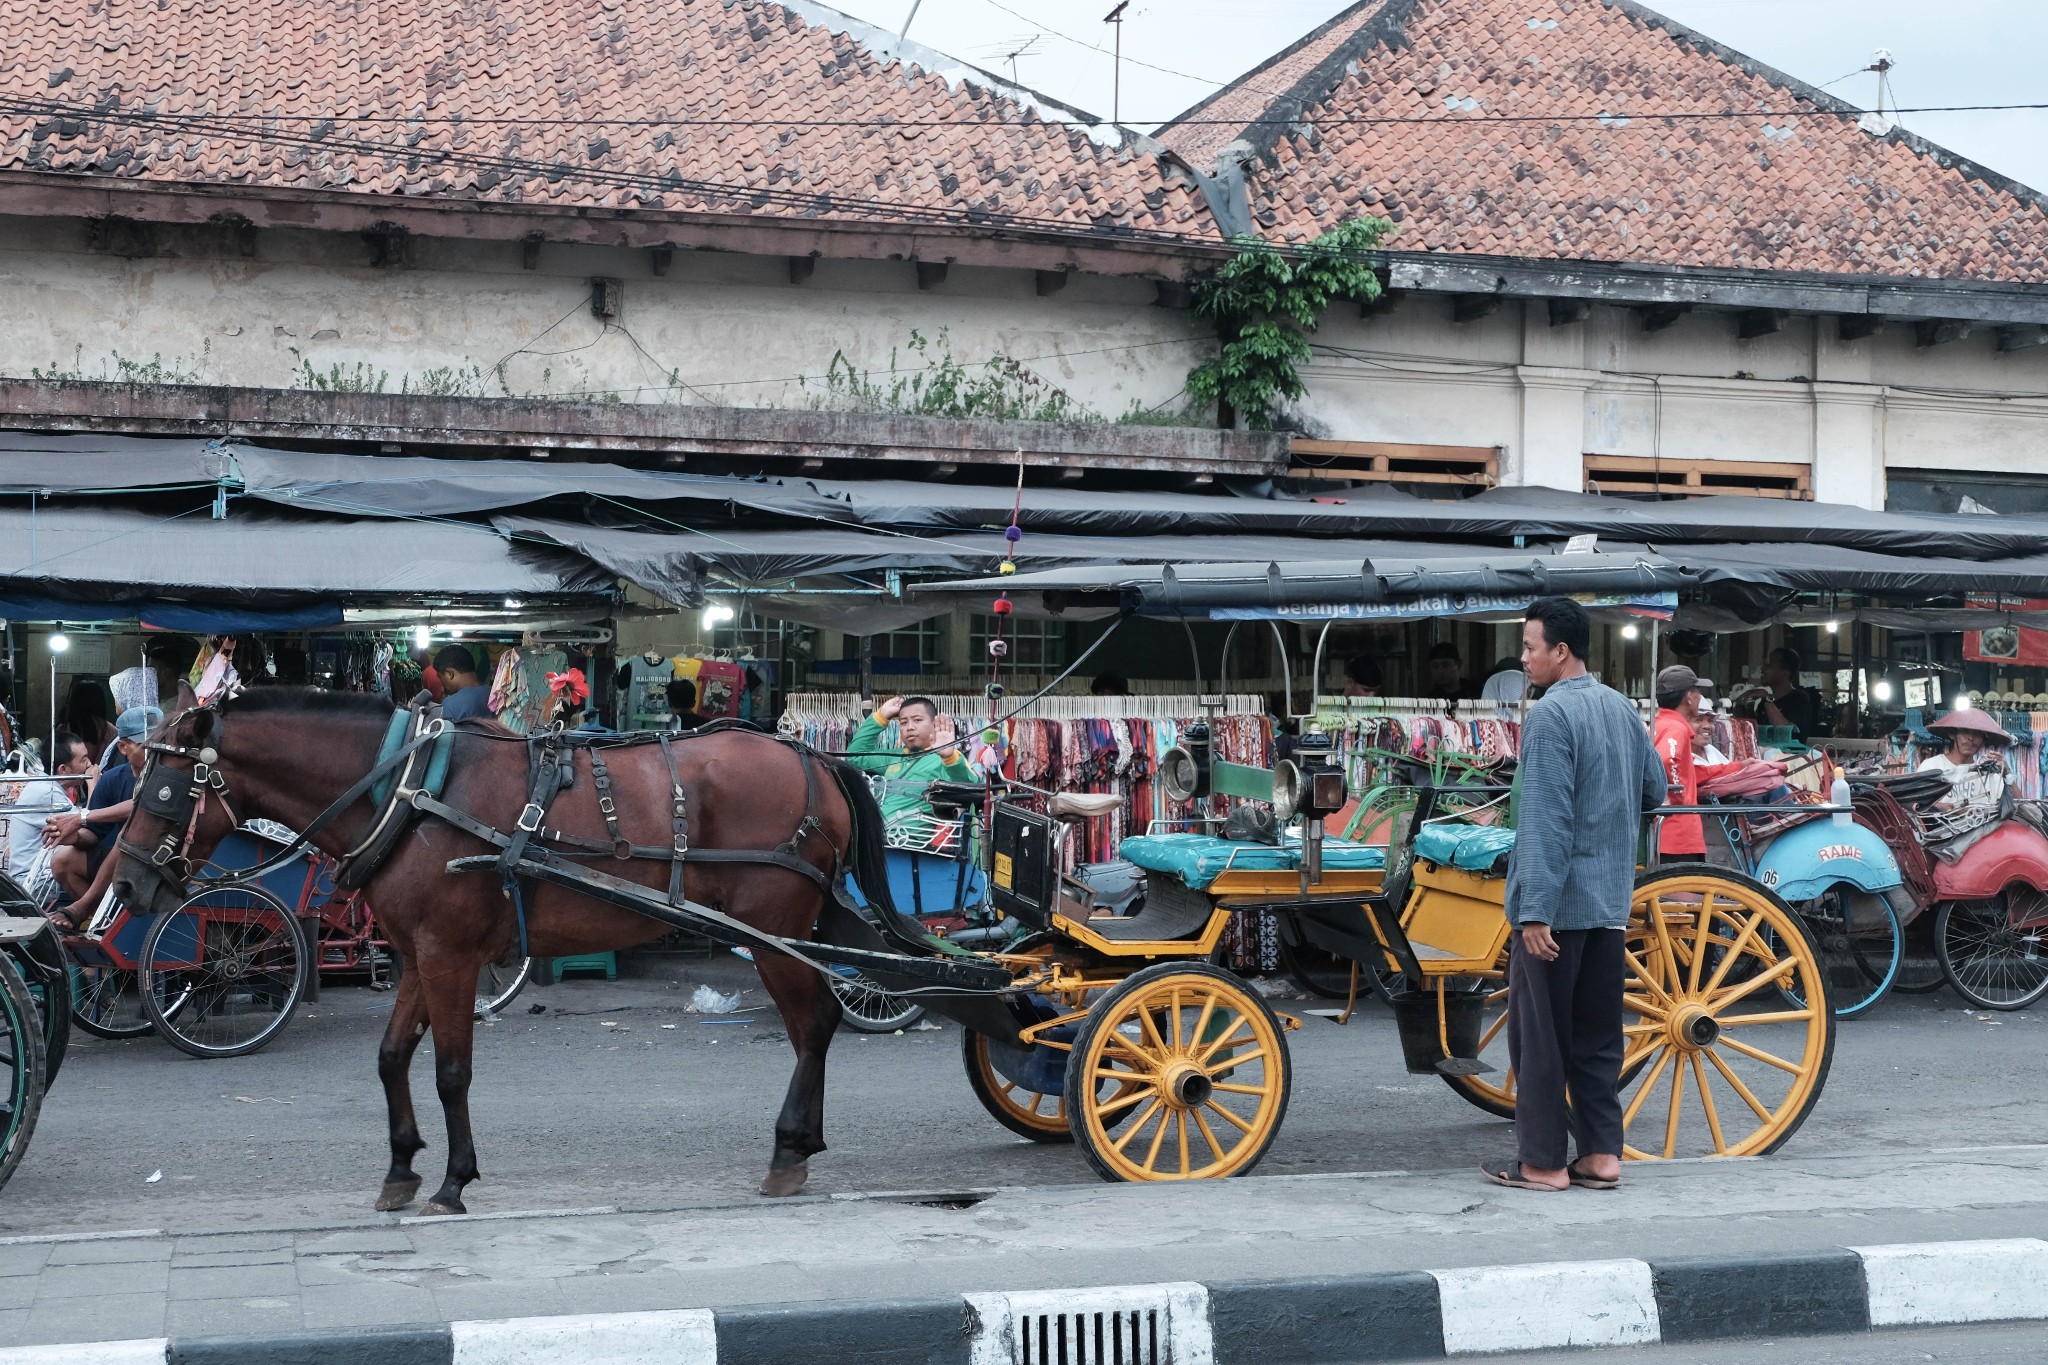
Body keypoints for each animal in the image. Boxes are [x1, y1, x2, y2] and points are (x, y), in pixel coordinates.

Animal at [101, 687, 888, 1211]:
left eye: (164, 786)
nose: (128, 884)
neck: (409, 790)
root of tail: (816, 759)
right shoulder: (418, 953)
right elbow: (391, 1057)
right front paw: (401, 1166)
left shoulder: (450, 954)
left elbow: (451, 1070)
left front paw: (454, 1178)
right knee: (815, 1024)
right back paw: (801, 1144)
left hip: (773, 930)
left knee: (813, 1025)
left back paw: (788, 1147)